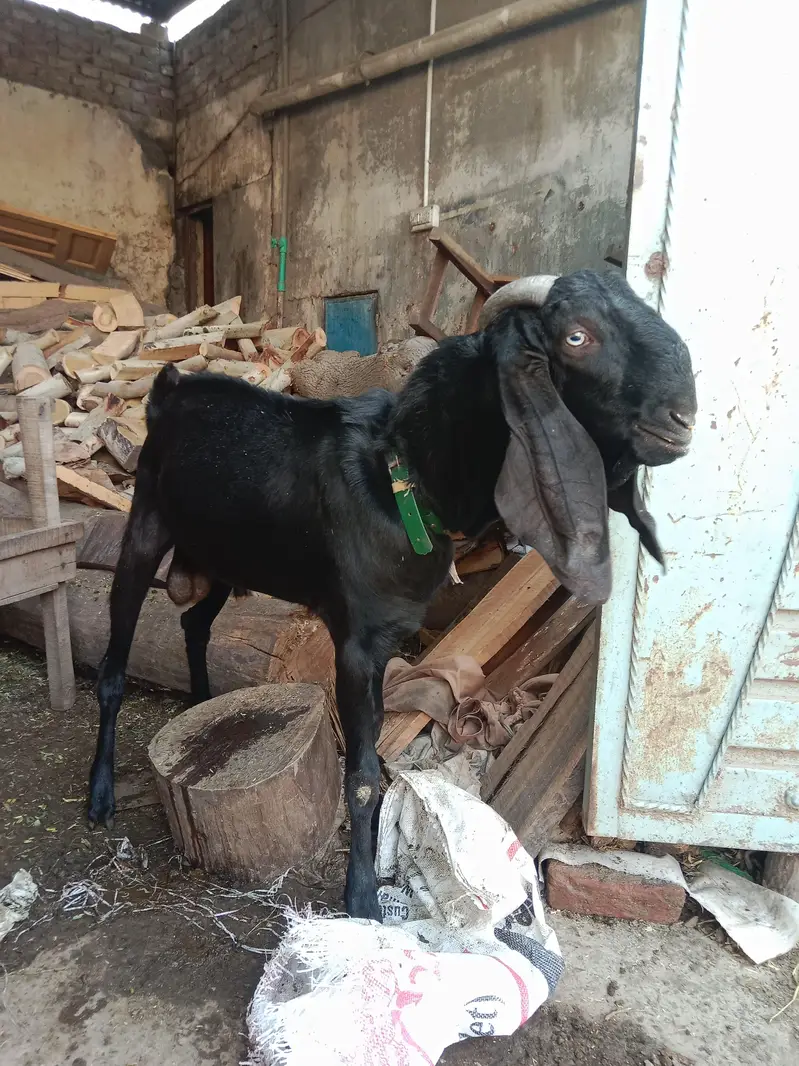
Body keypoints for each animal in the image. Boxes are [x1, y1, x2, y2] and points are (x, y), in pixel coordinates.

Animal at [88, 269, 697, 920]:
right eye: (577, 336)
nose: (683, 417)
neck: (403, 474)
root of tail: (170, 387)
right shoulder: (356, 645)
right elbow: (358, 776)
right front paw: (361, 899)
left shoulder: (387, 641)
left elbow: (377, 752)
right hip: (145, 525)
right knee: (114, 666)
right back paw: (100, 793)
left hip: (225, 555)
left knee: (195, 625)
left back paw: (200, 703)